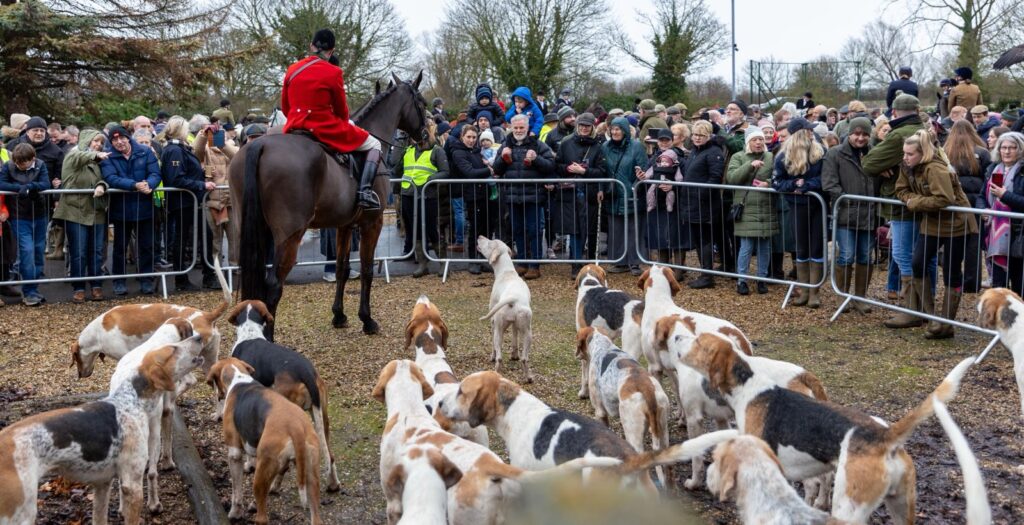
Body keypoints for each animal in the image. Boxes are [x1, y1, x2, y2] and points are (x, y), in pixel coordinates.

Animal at [229, 71, 428, 337]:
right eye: (422, 104)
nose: (427, 138)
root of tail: (260, 144)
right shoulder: (372, 222)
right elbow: (366, 269)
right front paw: (367, 319)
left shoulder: (344, 225)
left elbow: (342, 267)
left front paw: (339, 315)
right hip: (290, 235)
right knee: (273, 285)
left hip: (250, 229)